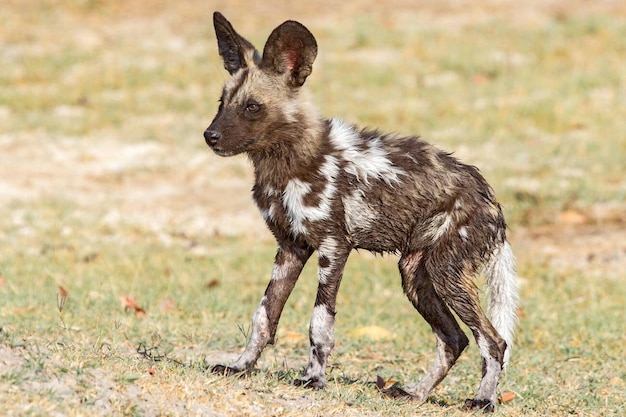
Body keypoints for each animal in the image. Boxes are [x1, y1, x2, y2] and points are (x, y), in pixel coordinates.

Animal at [204, 11, 516, 412]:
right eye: (221, 101)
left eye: (252, 107)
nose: (210, 135)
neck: (287, 163)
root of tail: (491, 199)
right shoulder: (290, 248)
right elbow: (263, 316)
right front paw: (241, 367)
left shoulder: (334, 247)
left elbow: (320, 322)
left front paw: (313, 379)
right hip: (415, 273)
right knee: (454, 339)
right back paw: (415, 393)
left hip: (446, 272)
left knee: (493, 340)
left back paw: (483, 399)